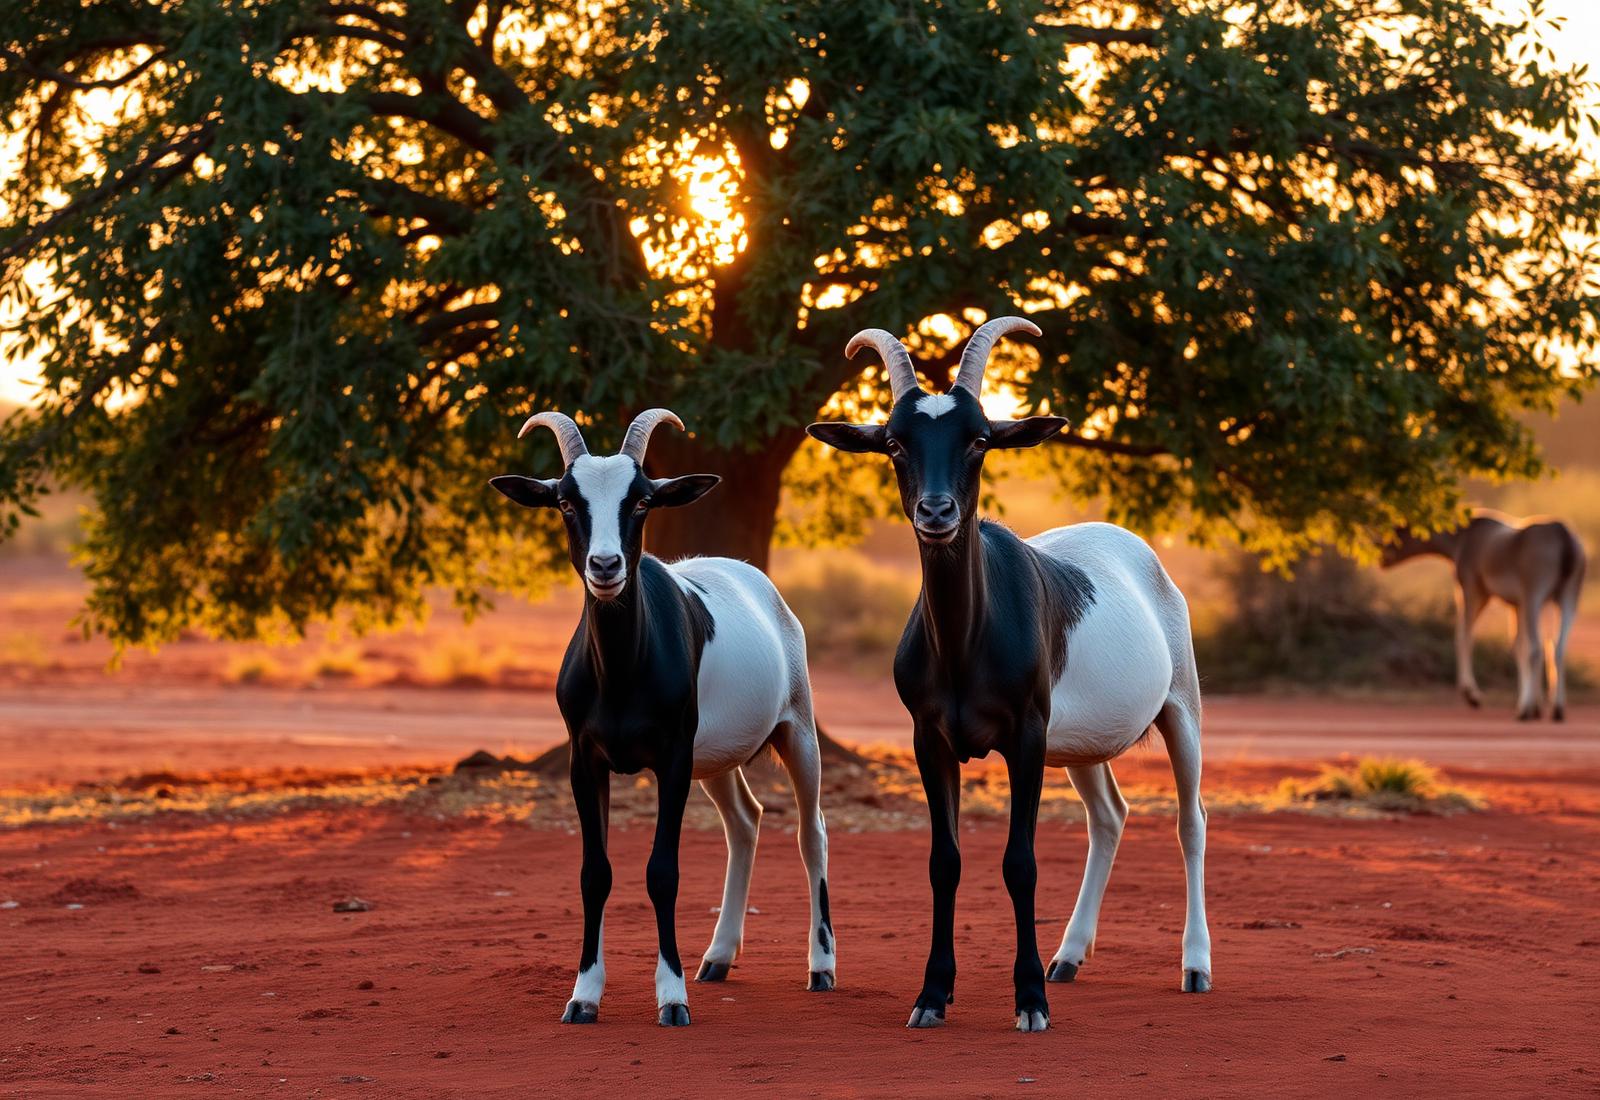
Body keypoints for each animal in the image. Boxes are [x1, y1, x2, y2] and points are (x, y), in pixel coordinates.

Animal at [491, 408, 834, 1027]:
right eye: (566, 502)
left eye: (643, 500)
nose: (606, 566)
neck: (623, 674)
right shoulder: (587, 760)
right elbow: (595, 873)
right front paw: (583, 996)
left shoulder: (672, 758)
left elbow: (662, 872)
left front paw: (671, 999)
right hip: (715, 760)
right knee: (745, 821)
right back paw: (717, 959)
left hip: (797, 729)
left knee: (810, 831)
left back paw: (820, 967)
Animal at [807, 319, 1210, 1032]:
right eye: (894, 442)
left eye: (980, 438)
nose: (937, 513)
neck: (967, 644)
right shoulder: (931, 739)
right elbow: (944, 861)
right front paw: (932, 996)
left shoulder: (1025, 734)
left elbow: (1020, 862)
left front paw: (1028, 1003)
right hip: (1077, 746)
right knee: (1109, 817)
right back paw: (1068, 959)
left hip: (1179, 708)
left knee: (1191, 823)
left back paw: (1194, 967)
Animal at [1383, 511, 1586, 720]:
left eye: (1399, 528)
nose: (1383, 555)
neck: (1460, 538)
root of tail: (1563, 535)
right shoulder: (1516, 605)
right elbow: (1518, 645)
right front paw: (1536, 707)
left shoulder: (1474, 590)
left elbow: (1464, 635)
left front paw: (1471, 694)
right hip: (1568, 595)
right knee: (1557, 648)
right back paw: (1557, 709)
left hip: (1535, 594)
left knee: (1536, 649)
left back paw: (1525, 710)